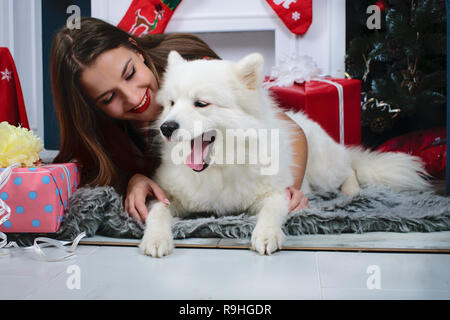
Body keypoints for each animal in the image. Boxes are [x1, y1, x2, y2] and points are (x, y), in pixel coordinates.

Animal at [140, 52, 428, 258]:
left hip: (324, 169)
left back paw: (352, 192)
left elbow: (271, 211)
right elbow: (157, 211)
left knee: (349, 169)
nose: (166, 127)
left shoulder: (275, 193)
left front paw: (266, 235)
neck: (219, 166)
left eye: (201, 103)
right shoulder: (168, 196)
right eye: (171, 103)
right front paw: (155, 238)